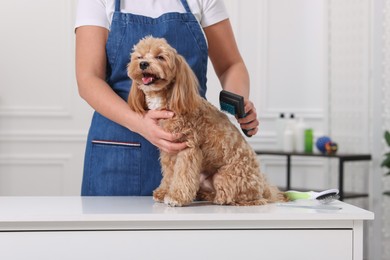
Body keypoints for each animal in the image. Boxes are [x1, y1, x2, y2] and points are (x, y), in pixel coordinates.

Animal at [128, 37, 286, 207]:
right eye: (139, 56)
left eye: (160, 57)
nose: (143, 64)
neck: (169, 100)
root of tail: (263, 186)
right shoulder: (169, 150)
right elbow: (170, 174)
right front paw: (164, 191)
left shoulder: (188, 148)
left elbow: (182, 174)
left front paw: (176, 197)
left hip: (225, 177)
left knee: (236, 198)